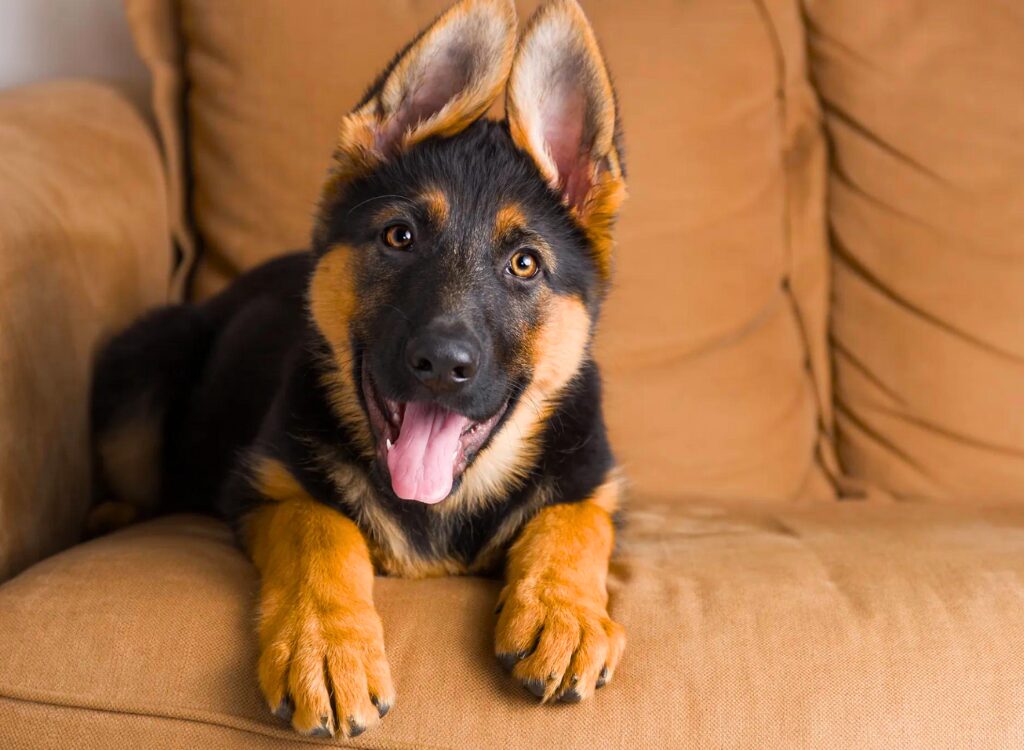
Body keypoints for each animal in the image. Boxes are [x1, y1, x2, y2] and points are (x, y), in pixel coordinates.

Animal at [90, 0, 622, 737]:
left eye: (525, 264)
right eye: (400, 236)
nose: (441, 365)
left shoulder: (594, 480)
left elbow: (574, 521)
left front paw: (563, 614)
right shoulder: (270, 485)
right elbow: (323, 530)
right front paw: (324, 648)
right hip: (147, 358)